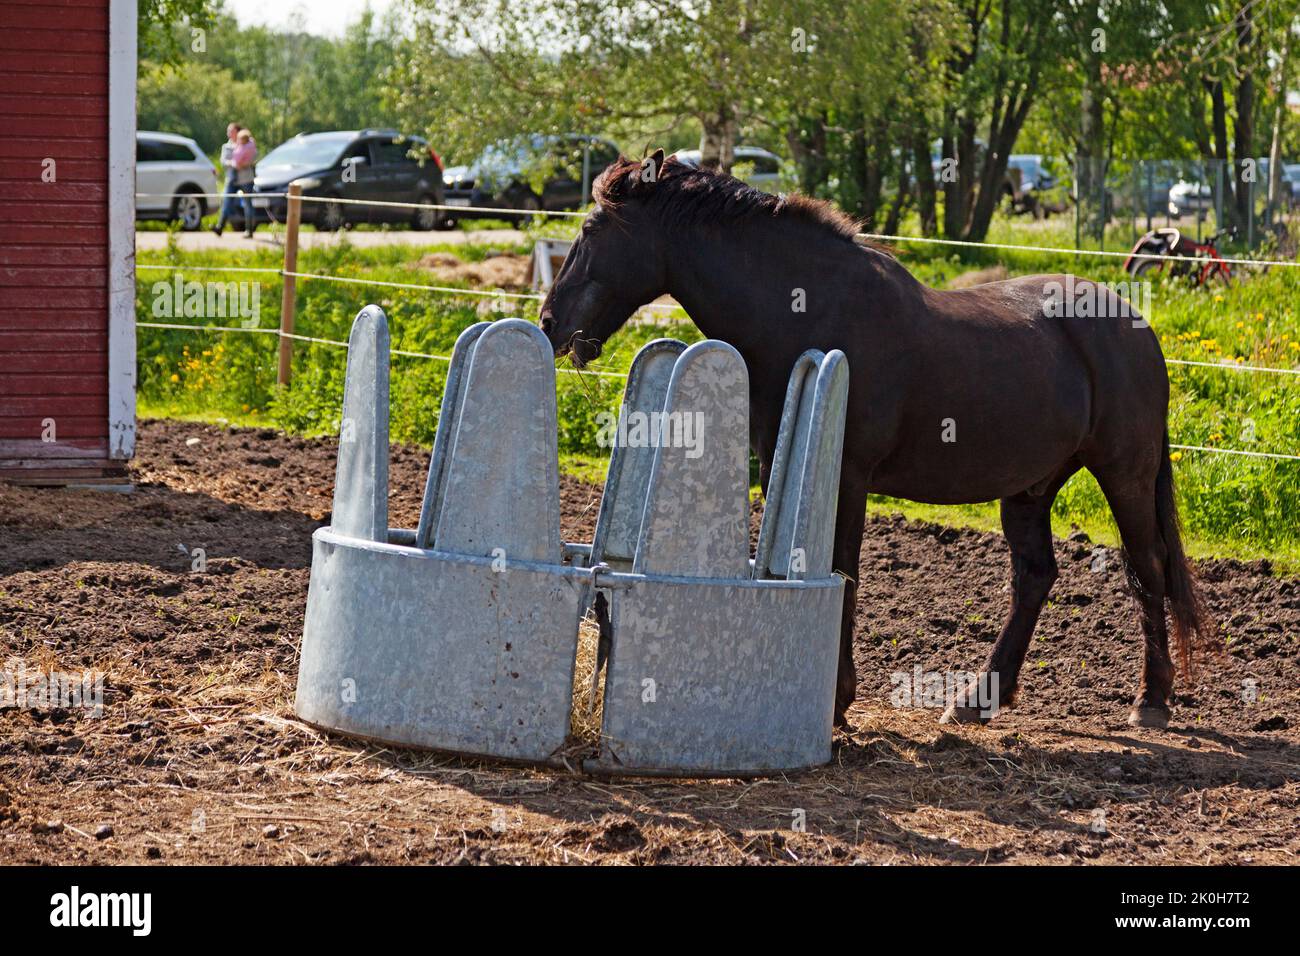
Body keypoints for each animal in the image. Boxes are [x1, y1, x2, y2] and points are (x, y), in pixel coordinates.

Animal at [540, 151, 1216, 733]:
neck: (804, 309)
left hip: (1124, 474)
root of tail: (1137, 325)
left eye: (594, 227)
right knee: (1035, 578)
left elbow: (845, 570)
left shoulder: (848, 475)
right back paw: (979, 698)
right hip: (1030, 488)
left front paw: (838, 701)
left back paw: (1152, 701)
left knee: (1147, 568)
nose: (551, 322)